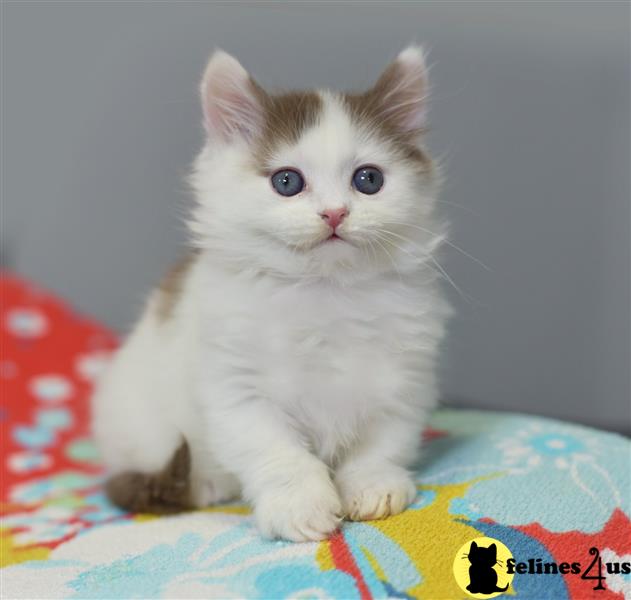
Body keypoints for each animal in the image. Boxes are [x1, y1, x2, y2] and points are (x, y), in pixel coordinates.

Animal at [91, 47, 452, 544]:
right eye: (287, 182)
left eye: (368, 180)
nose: (334, 213)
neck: (325, 291)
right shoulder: (237, 386)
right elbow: (279, 454)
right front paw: (300, 507)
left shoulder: (407, 377)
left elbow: (383, 441)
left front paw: (373, 485)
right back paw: (207, 483)